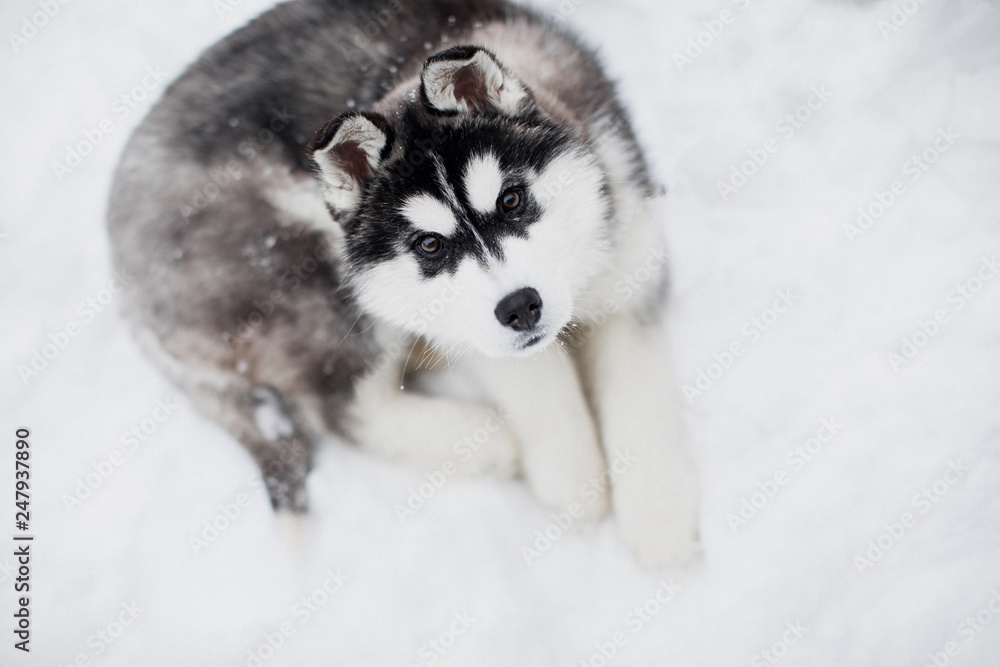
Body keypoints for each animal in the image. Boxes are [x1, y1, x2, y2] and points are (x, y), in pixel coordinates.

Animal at [107, 0, 696, 568]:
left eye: (511, 200)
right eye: (430, 245)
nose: (521, 308)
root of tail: (123, 274)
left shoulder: (630, 270)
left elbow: (642, 399)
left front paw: (657, 523)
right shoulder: (465, 320)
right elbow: (540, 388)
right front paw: (572, 481)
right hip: (310, 275)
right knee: (341, 408)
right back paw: (486, 440)